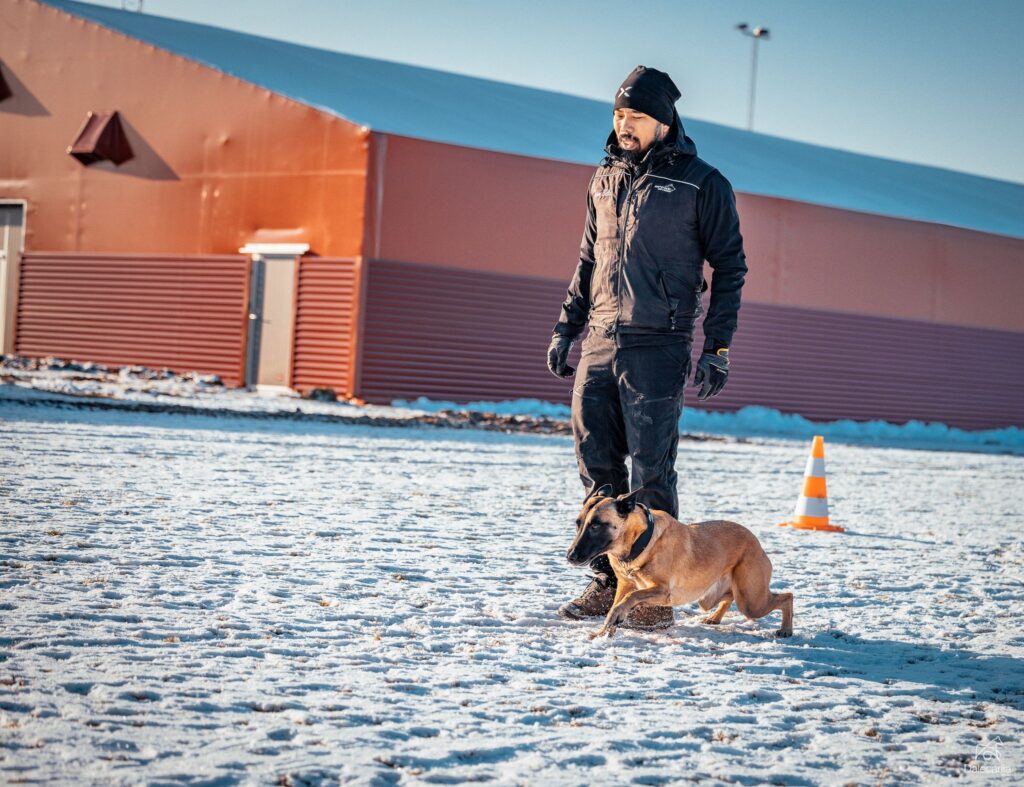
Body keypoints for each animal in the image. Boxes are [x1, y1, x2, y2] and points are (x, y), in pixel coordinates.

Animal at [569, 485, 790, 638]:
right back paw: (714, 618)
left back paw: (786, 629)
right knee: (729, 597)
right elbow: (616, 605)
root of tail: (757, 543)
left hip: (751, 601)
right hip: (711, 598)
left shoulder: (662, 591)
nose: (570, 555)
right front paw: (603, 632)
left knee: (787, 597)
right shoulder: (625, 585)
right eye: (578, 524)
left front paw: (616, 619)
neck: (640, 541)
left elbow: (630, 598)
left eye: (596, 526)